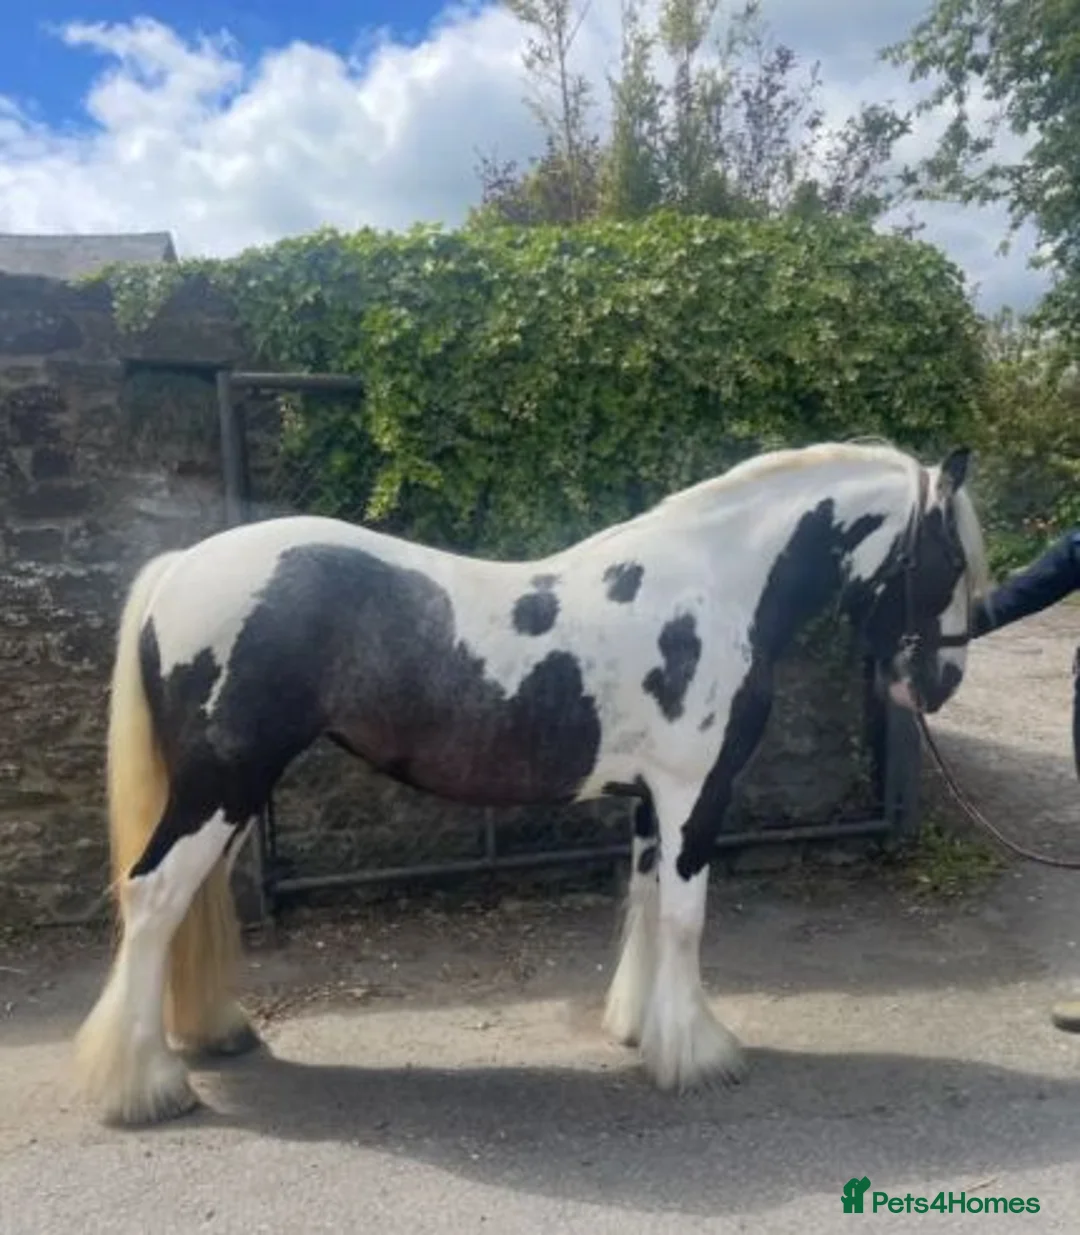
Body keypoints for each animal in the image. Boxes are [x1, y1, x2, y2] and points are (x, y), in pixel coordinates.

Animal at [73, 439, 988, 1125]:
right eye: (950, 558)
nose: (941, 682)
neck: (714, 587)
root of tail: (183, 566)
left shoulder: (652, 802)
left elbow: (646, 904)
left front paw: (641, 1031)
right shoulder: (693, 797)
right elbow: (685, 919)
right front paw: (699, 1054)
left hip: (228, 795)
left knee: (187, 902)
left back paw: (209, 1035)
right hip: (220, 787)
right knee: (153, 896)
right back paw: (146, 1085)